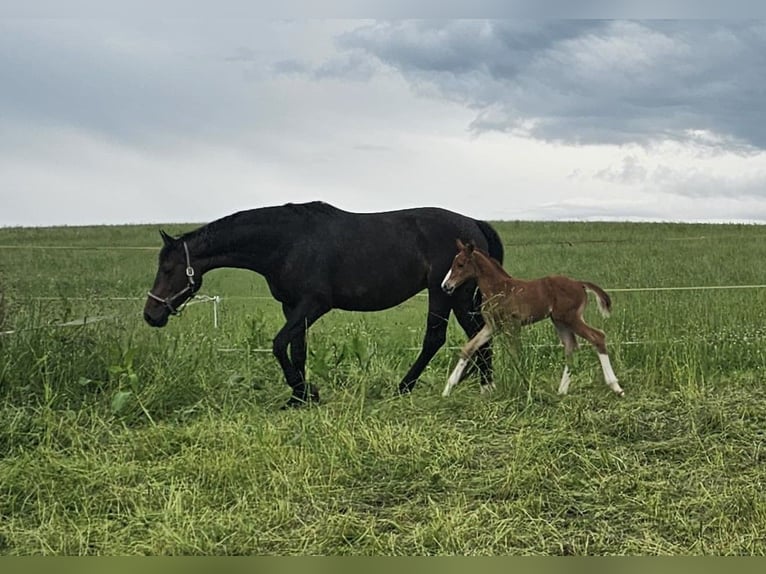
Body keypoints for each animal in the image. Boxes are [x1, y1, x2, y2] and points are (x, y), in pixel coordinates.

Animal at [144, 201, 505, 408]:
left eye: (169, 268)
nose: (151, 314)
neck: (287, 242)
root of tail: (473, 224)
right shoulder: (292, 307)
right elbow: (297, 349)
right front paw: (299, 398)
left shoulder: (314, 304)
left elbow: (278, 344)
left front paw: (306, 391)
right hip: (458, 295)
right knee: (476, 333)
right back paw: (483, 383)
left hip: (443, 292)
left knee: (436, 337)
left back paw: (407, 387)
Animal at [440, 239, 624, 398]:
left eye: (460, 264)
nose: (445, 286)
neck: (498, 288)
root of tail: (580, 284)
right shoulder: (492, 326)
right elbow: (468, 348)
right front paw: (447, 389)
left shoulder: (512, 324)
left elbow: (516, 354)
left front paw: (523, 385)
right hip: (560, 321)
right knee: (571, 346)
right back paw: (561, 391)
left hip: (571, 318)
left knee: (597, 336)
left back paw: (615, 386)